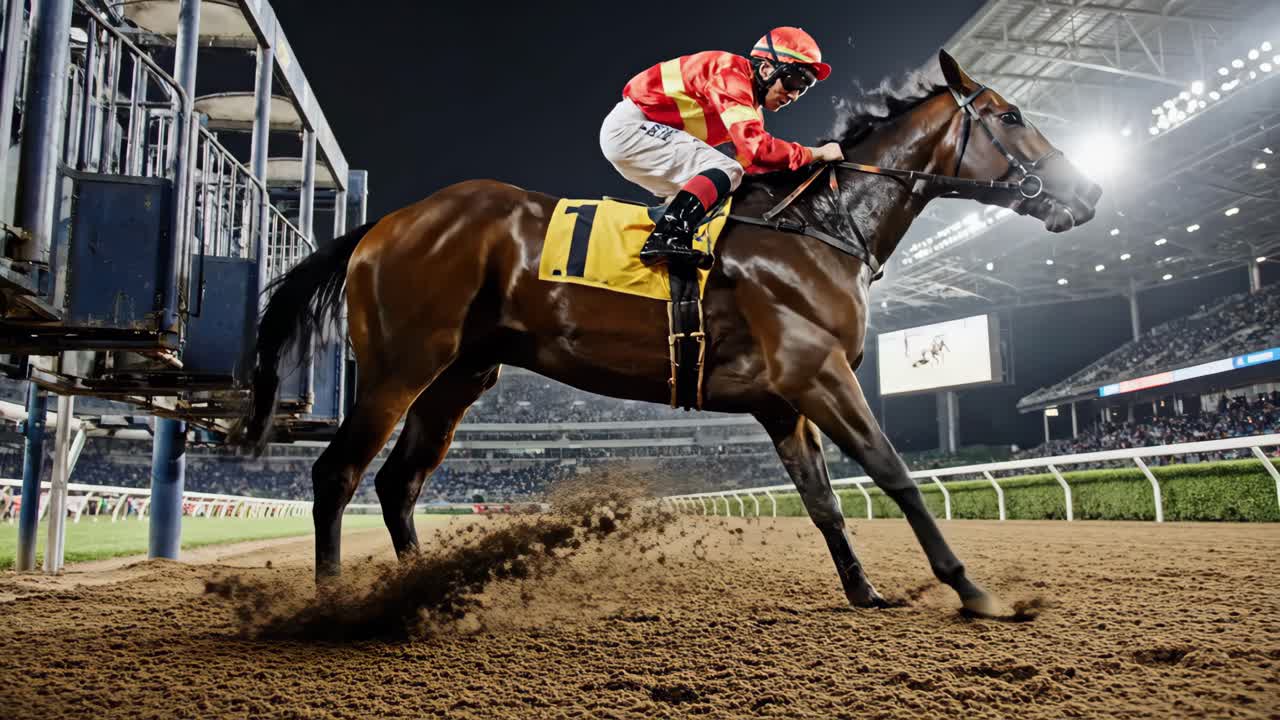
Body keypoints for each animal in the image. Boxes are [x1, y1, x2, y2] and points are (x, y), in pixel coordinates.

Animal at [237, 50, 1101, 617]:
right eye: (1012, 115)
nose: (1088, 191)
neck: (820, 226)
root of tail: (384, 224)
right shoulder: (818, 372)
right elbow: (894, 474)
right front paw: (974, 590)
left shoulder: (782, 401)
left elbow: (823, 502)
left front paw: (865, 591)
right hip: (400, 365)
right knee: (338, 474)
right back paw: (332, 608)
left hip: (459, 376)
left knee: (398, 481)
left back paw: (418, 596)